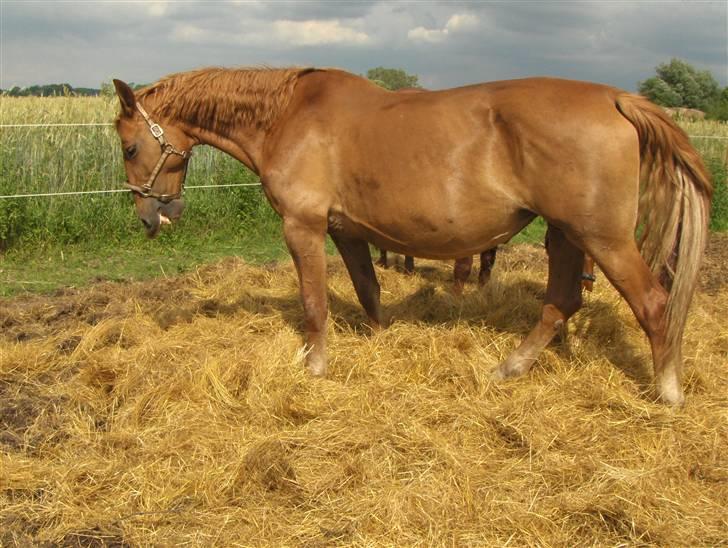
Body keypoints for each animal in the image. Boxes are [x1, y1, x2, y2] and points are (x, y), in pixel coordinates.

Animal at [112, 66, 712, 404]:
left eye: (129, 146)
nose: (151, 218)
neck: (287, 115)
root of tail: (614, 97)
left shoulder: (303, 226)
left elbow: (313, 303)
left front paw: (315, 365)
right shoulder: (347, 232)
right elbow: (368, 290)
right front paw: (380, 341)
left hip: (601, 238)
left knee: (654, 303)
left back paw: (668, 391)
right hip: (566, 235)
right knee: (560, 303)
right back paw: (509, 368)